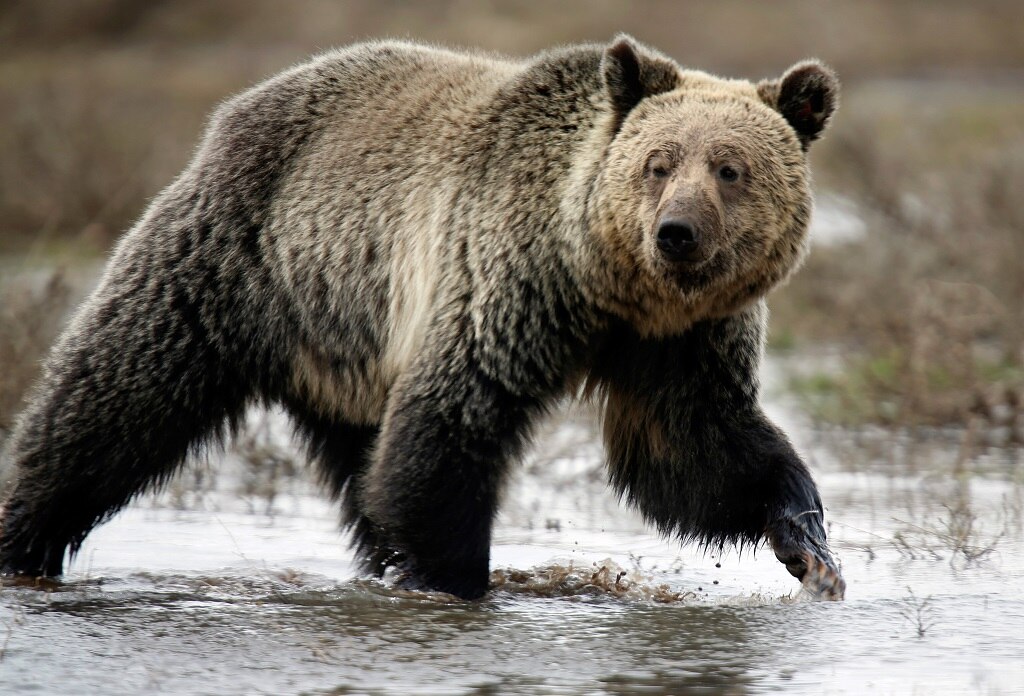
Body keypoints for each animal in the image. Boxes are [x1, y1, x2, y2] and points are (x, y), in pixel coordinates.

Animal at [0, 35, 844, 600]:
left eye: (730, 169)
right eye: (659, 163)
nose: (676, 232)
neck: (609, 287)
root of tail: (239, 106)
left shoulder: (680, 343)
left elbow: (694, 451)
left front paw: (809, 541)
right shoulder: (505, 282)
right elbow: (450, 426)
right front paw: (455, 578)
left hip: (346, 344)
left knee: (361, 467)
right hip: (237, 261)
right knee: (115, 398)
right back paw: (24, 537)